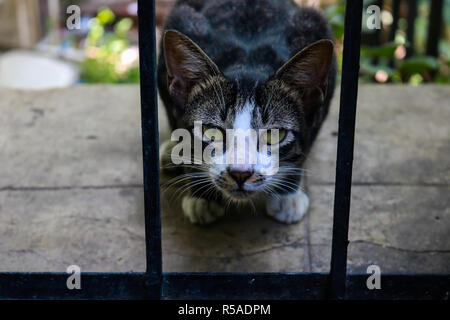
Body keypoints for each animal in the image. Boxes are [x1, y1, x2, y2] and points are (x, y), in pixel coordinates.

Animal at [156, 0, 336, 225]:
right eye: (210, 132)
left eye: (275, 134)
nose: (240, 174)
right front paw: (202, 198)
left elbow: (306, 143)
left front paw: (287, 197)